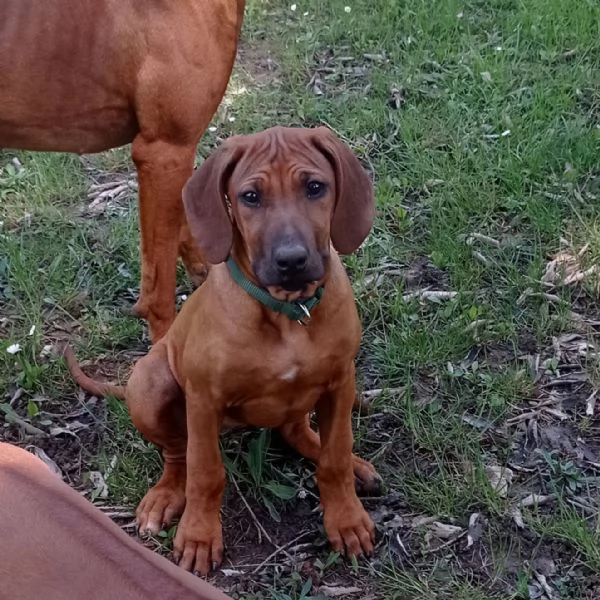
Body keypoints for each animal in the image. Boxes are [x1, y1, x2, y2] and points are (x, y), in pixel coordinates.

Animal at [65, 125, 382, 576]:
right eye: (250, 197)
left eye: (315, 188)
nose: (291, 260)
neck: (287, 311)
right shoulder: (203, 397)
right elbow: (205, 472)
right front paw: (198, 537)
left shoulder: (341, 381)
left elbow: (334, 455)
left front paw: (347, 519)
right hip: (151, 384)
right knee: (177, 454)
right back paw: (166, 496)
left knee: (297, 432)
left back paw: (352, 465)